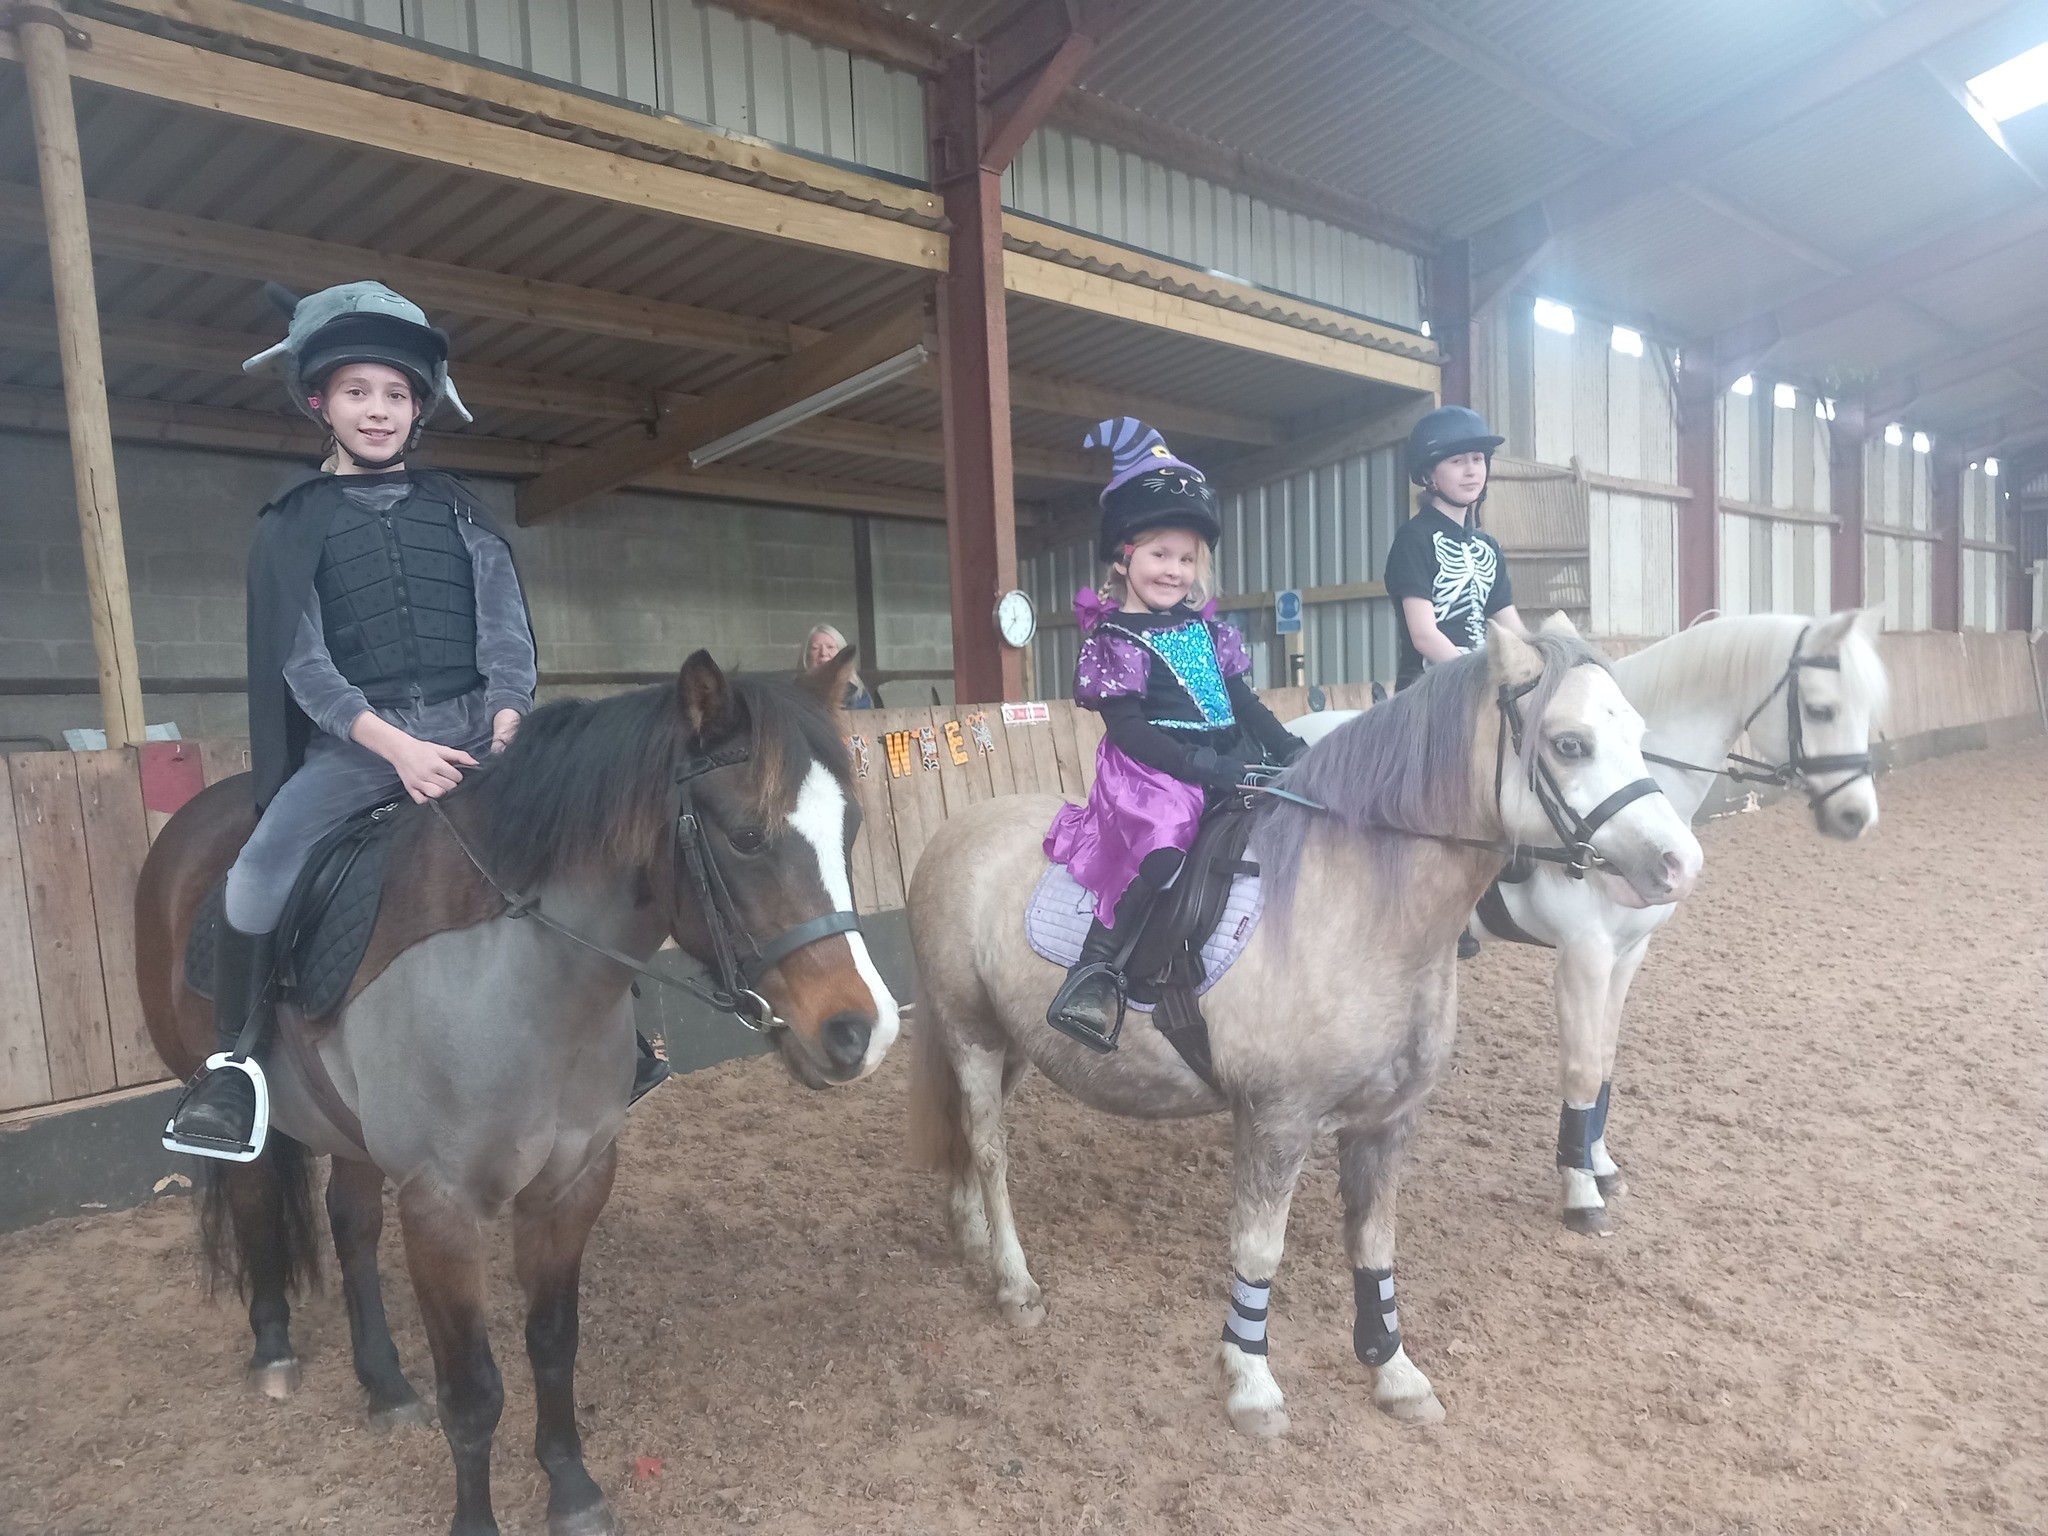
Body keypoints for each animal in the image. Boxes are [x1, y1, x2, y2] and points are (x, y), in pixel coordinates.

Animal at [135, 650, 899, 1536]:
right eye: (747, 837)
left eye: (849, 831)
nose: (861, 1032)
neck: (524, 972)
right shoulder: (440, 1208)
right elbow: (472, 1390)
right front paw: (478, 1518)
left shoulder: (571, 1186)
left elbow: (553, 1344)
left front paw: (571, 1490)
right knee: (255, 1194)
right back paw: (274, 1349)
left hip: (350, 1129)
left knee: (350, 1225)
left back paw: (384, 1384)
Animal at [905, 624, 1703, 1438]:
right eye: (1570, 744)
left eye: (1638, 733)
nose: (1682, 864)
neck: (1356, 903)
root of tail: (953, 830)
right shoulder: (1276, 1119)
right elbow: (1260, 1250)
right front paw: (1251, 1384)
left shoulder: (1387, 1120)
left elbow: (1374, 1244)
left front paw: (1394, 1372)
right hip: (972, 1033)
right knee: (991, 1148)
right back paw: (1012, 1280)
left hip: (1018, 1044)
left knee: (967, 1134)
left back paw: (969, 1233)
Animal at [1292, 609, 1887, 1235]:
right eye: (1821, 710)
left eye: (1638, 734)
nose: (1856, 815)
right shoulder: (1584, 953)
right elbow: (1579, 1070)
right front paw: (1580, 1194)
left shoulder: (1628, 953)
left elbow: (1603, 1060)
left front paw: (1599, 1166)